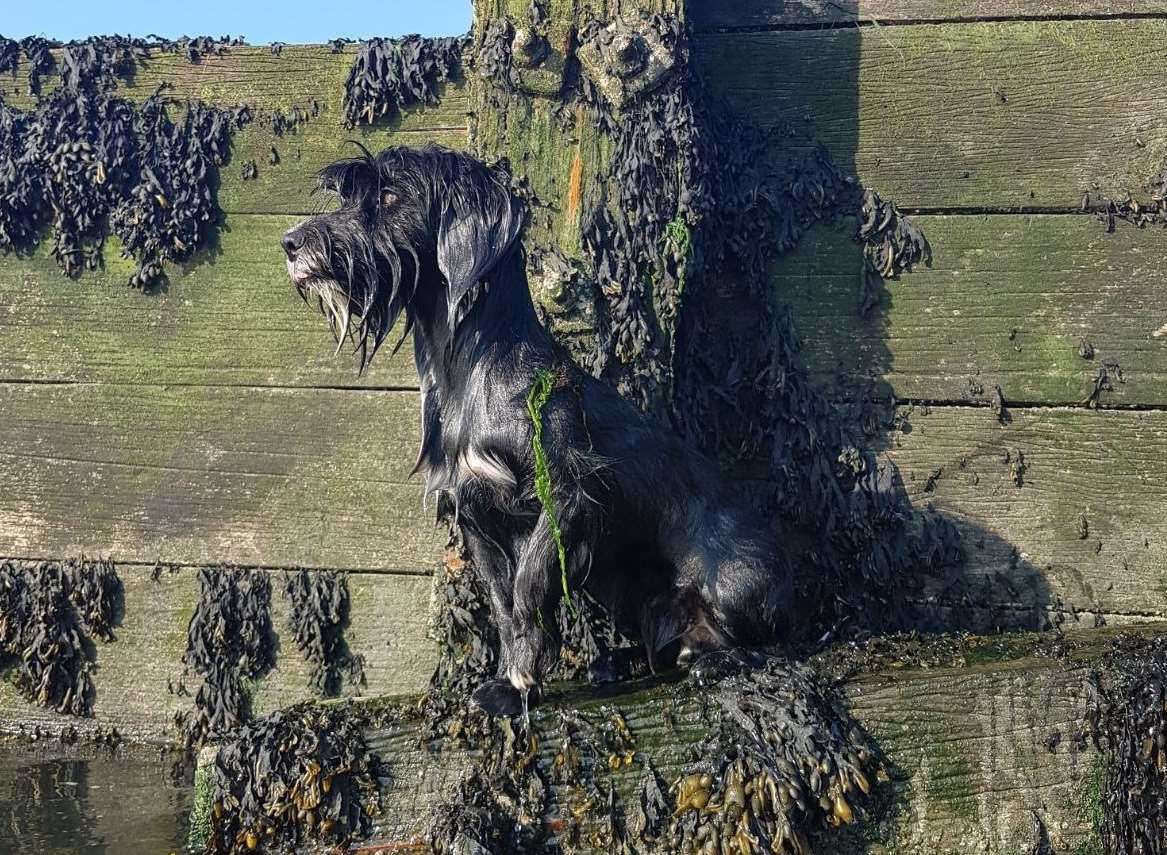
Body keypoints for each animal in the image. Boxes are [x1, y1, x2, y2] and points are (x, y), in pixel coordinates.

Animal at [281, 145, 793, 713]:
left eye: (390, 196)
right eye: (349, 195)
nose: (291, 243)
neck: (469, 373)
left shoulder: (566, 497)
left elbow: (527, 591)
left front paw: (521, 683)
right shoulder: (474, 513)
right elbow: (503, 605)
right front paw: (512, 677)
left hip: (730, 583)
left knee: (777, 645)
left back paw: (721, 661)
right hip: (624, 585)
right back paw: (626, 661)